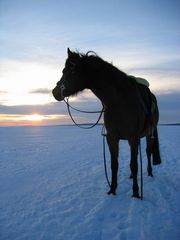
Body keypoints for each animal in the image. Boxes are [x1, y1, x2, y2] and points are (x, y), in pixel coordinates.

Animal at [52, 48, 160, 199]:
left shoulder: (133, 138)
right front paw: (113, 189)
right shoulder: (112, 138)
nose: (55, 92)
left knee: (148, 152)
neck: (119, 101)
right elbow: (114, 164)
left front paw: (136, 192)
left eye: (70, 71)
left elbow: (134, 165)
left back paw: (149, 173)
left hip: (149, 134)